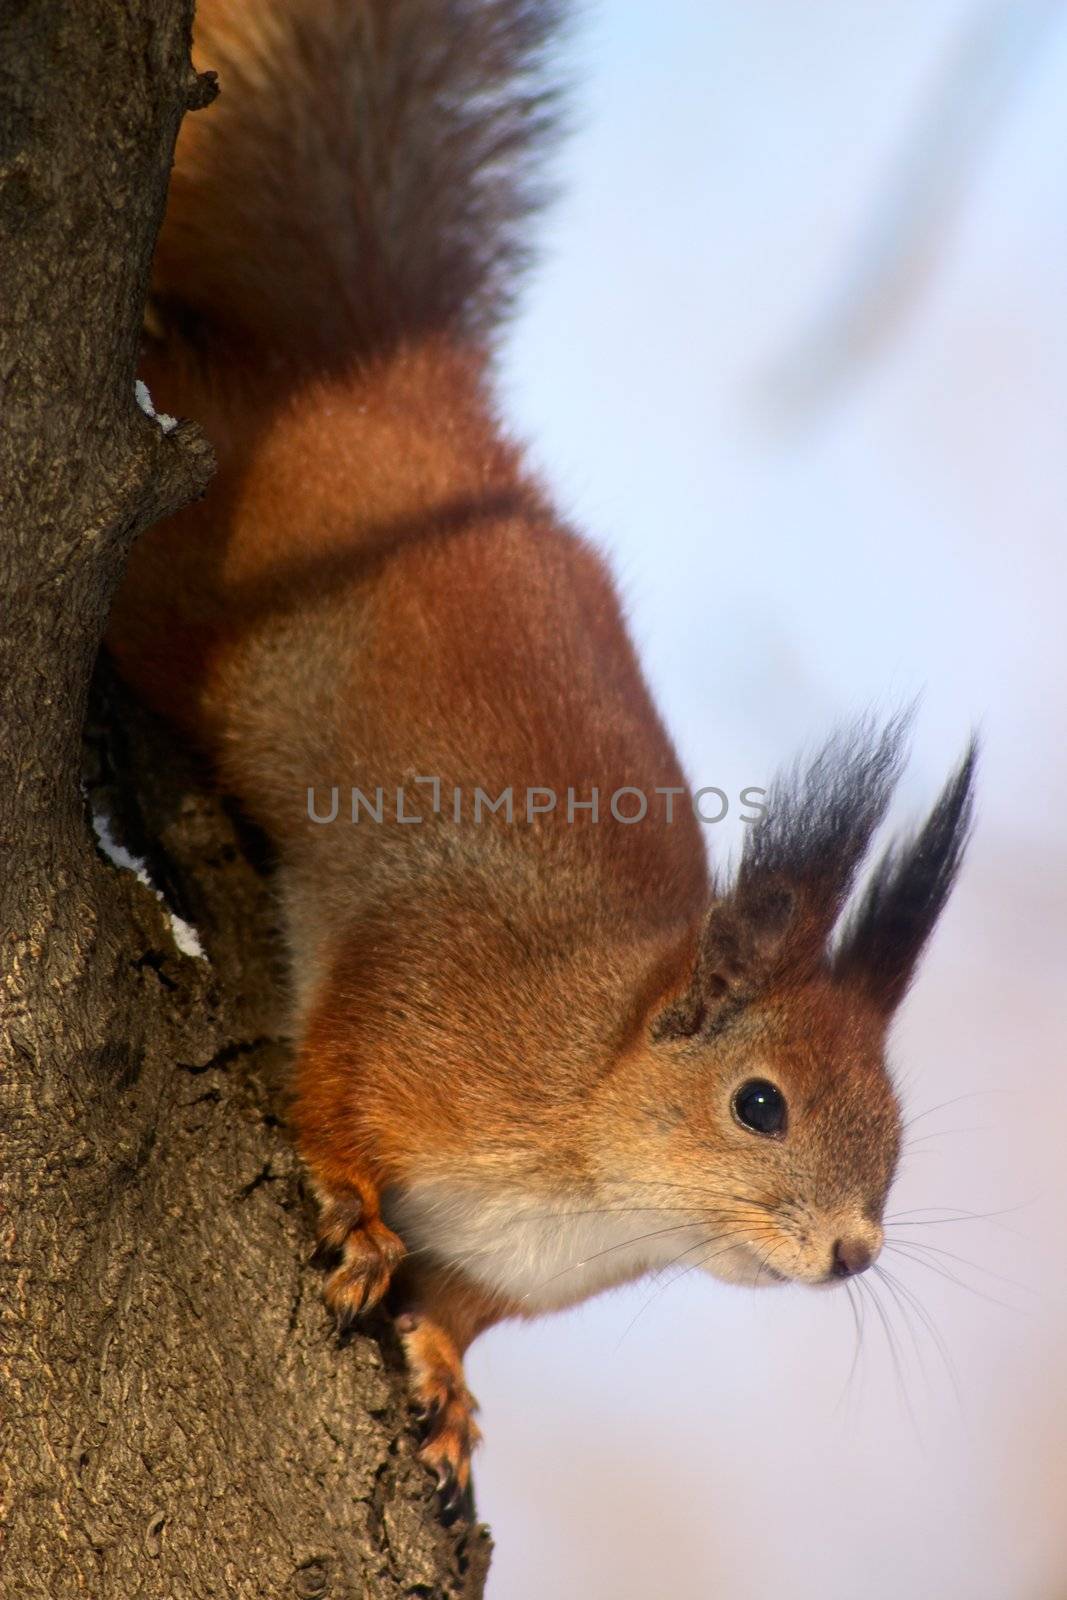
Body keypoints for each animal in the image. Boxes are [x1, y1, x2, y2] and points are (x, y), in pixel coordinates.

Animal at [108, 0, 979, 1510]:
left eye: (895, 1121)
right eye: (759, 1104)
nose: (851, 1251)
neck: (593, 1163)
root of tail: (380, 387)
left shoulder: (502, 1272)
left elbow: (459, 1318)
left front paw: (448, 1390)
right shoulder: (426, 1003)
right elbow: (333, 1078)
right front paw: (351, 1210)